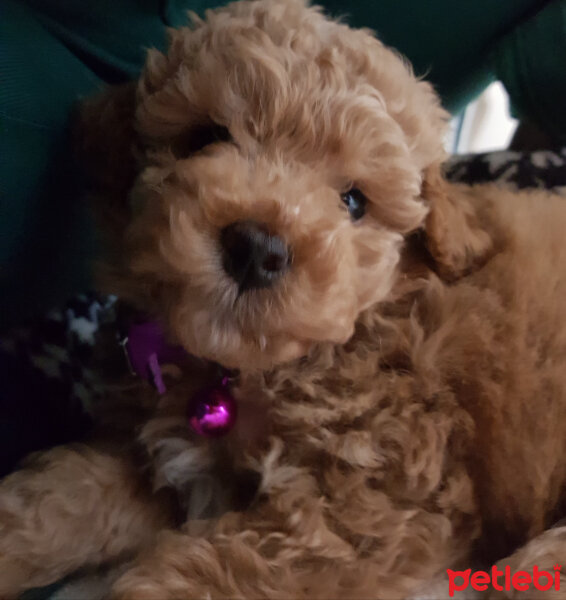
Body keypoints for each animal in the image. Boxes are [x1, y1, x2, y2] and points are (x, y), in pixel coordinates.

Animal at [1, 1, 566, 600]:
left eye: (354, 201)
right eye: (206, 137)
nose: (256, 248)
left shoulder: (375, 513)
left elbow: (213, 566)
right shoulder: (155, 461)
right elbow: (63, 498)